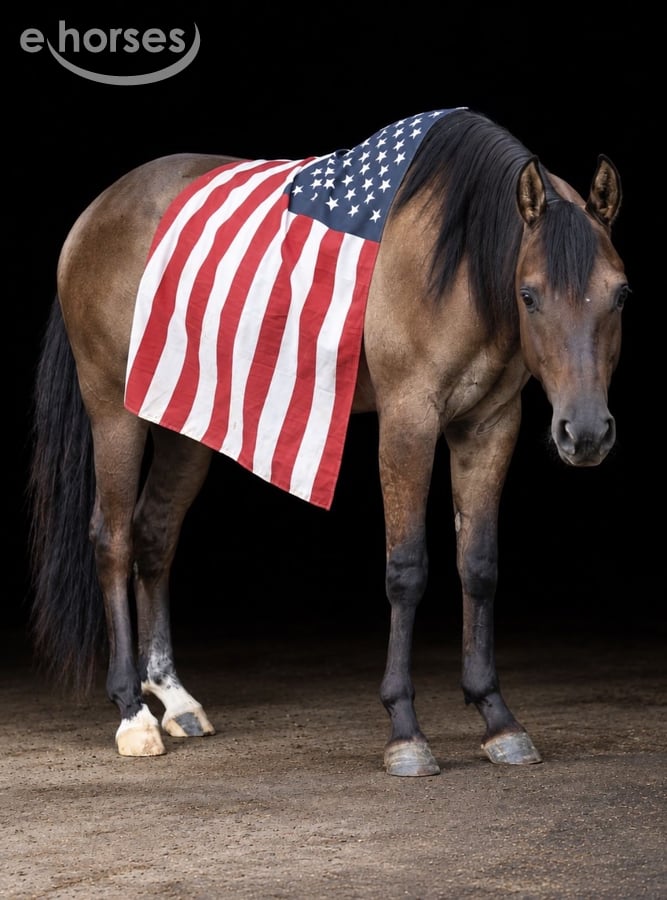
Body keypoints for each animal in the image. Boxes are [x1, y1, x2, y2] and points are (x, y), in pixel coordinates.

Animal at [27, 108, 627, 776]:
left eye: (621, 294)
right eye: (529, 294)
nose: (585, 433)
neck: (459, 259)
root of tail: (96, 213)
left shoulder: (489, 425)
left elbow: (479, 566)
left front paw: (497, 718)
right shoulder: (409, 420)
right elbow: (407, 568)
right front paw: (404, 731)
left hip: (185, 422)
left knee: (154, 533)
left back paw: (176, 699)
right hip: (114, 410)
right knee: (112, 540)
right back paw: (132, 712)